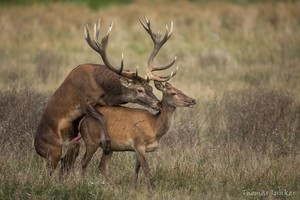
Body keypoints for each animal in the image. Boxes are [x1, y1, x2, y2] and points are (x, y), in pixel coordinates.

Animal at [34, 16, 177, 177]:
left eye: (151, 88)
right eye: (139, 90)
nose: (158, 104)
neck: (103, 88)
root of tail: (36, 148)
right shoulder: (84, 102)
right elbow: (101, 117)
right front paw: (107, 143)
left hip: (71, 147)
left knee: (66, 163)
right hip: (52, 150)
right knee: (50, 170)